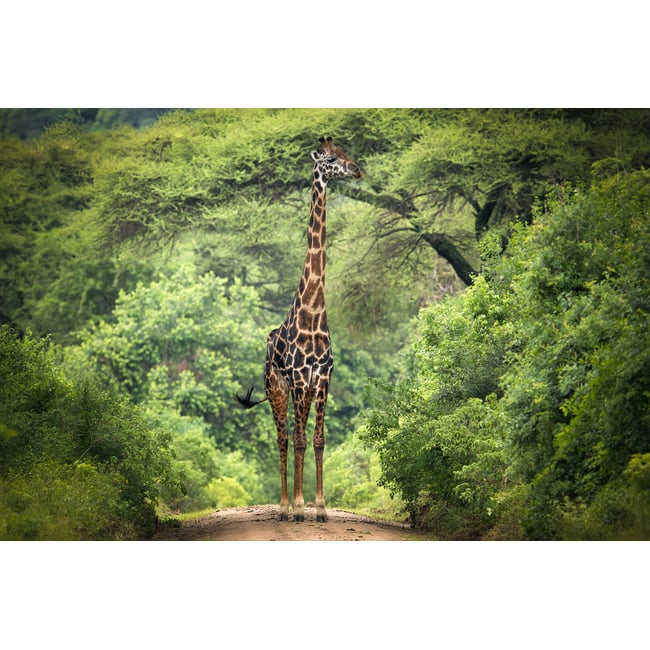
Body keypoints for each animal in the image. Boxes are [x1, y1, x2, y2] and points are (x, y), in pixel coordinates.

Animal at [235, 137, 361, 522]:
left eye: (346, 152)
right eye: (331, 159)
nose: (358, 170)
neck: (314, 311)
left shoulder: (323, 378)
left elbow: (317, 440)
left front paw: (319, 507)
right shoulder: (299, 379)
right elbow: (300, 439)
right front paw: (301, 506)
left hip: (297, 390)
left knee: (295, 435)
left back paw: (295, 505)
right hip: (276, 387)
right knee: (283, 437)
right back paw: (284, 507)